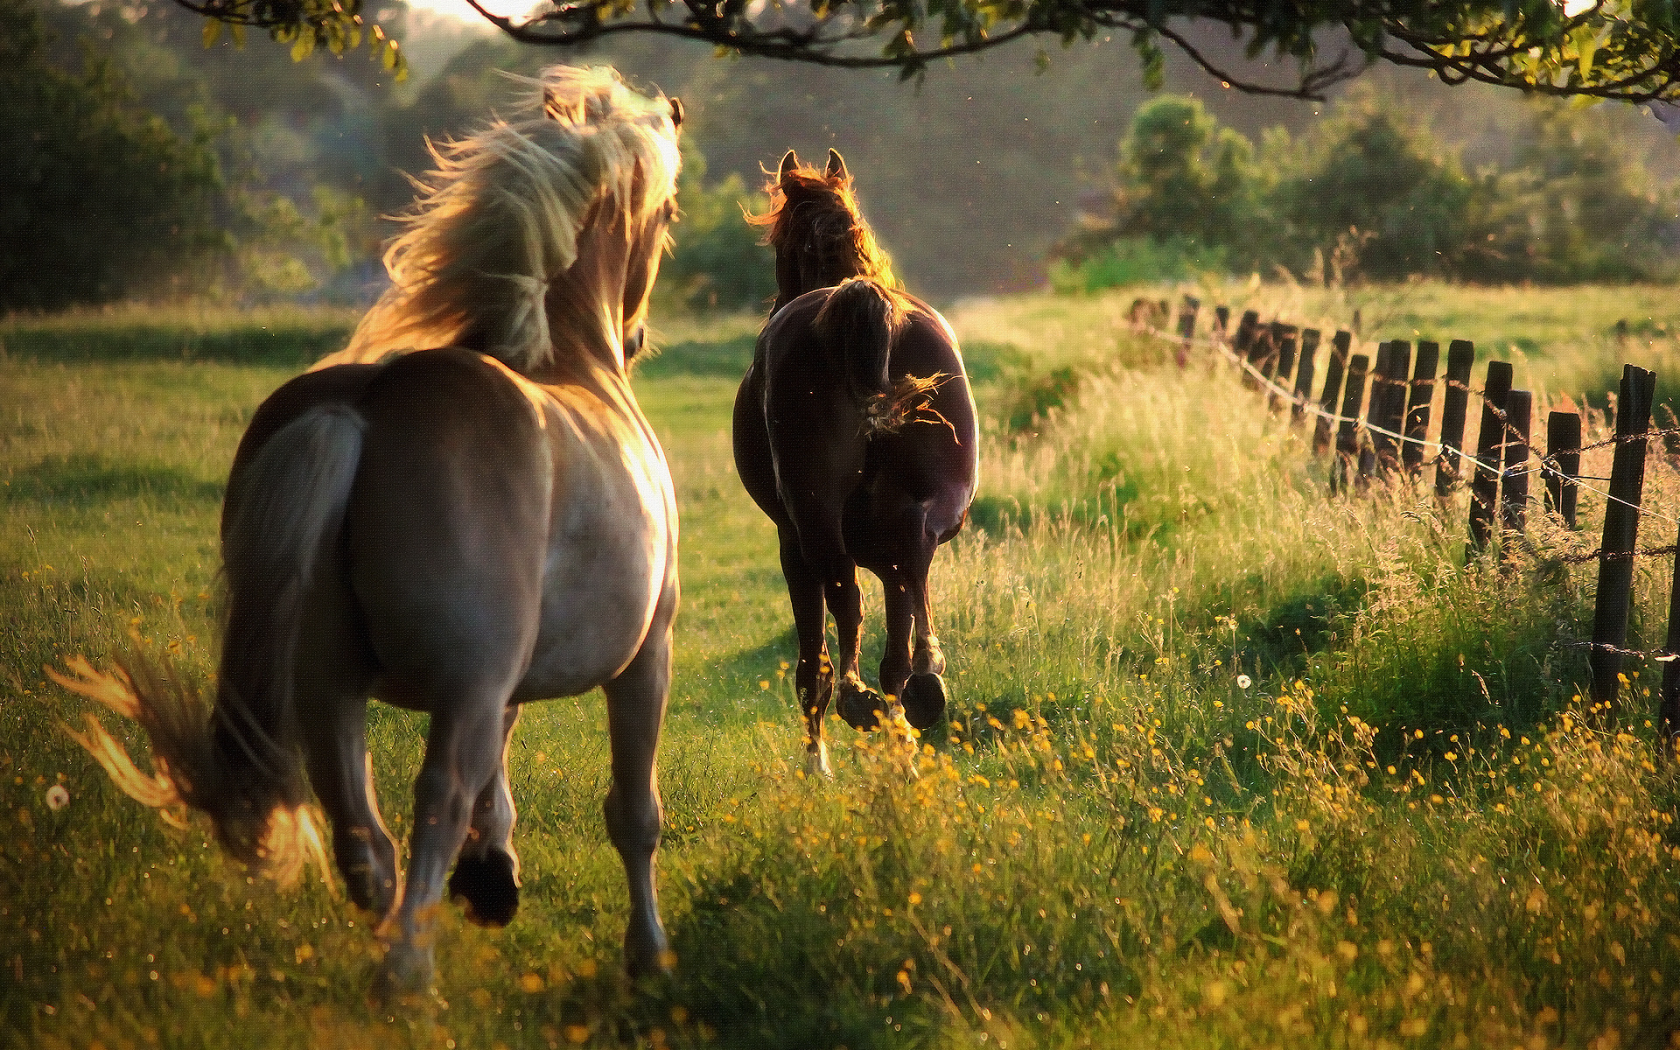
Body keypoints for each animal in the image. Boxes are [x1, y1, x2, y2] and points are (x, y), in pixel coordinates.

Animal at [54, 67, 682, 987]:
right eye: (666, 215)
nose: (635, 336)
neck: (571, 360)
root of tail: (361, 409)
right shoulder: (640, 657)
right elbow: (633, 814)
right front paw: (647, 952)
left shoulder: (506, 676)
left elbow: (506, 773)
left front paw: (494, 877)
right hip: (455, 688)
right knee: (435, 799)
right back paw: (407, 973)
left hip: (328, 685)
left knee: (363, 834)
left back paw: (396, 939)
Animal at [729, 147, 981, 772]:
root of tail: (861, 303)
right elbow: (899, 614)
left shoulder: (791, 542)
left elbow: (813, 653)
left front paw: (816, 762)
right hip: (923, 511)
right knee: (911, 577)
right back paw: (920, 692)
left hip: (813, 523)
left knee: (845, 602)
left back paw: (855, 705)